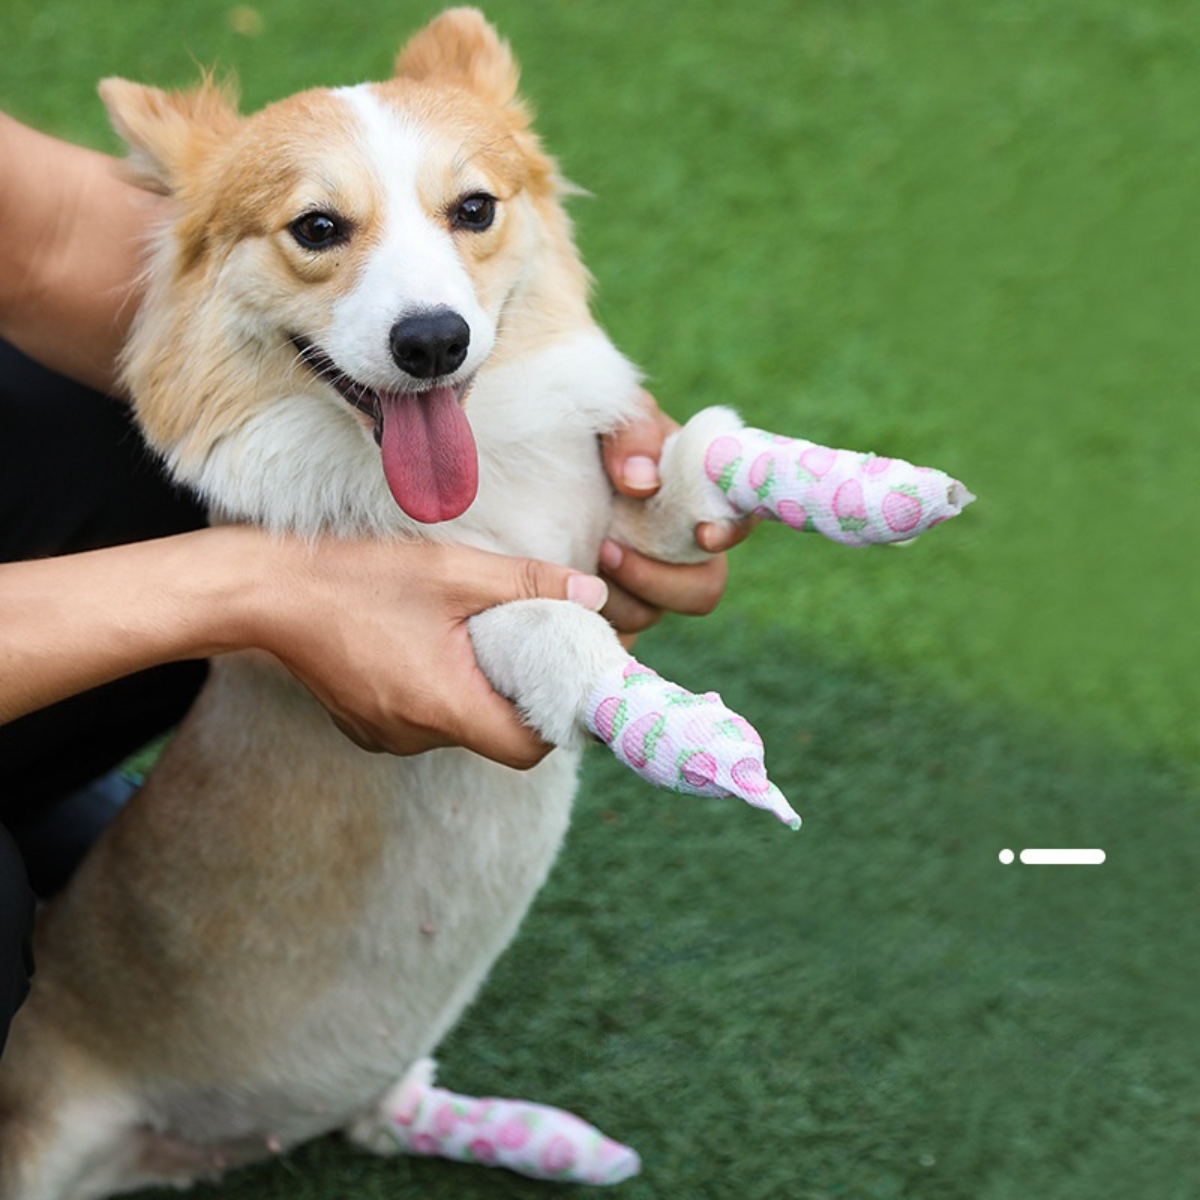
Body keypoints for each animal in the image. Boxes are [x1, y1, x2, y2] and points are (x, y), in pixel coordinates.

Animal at [0, 9, 792, 1200]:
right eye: (318, 228)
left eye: (475, 210)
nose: (433, 342)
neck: (485, 491)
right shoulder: (453, 619)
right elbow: (546, 621)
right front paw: (674, 729)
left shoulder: (602, 537)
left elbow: (687, 466)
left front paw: (853, 487)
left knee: (385, 1116)